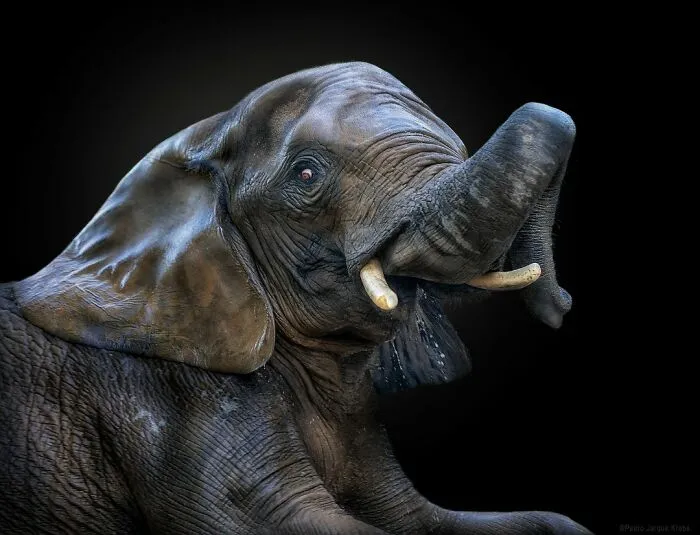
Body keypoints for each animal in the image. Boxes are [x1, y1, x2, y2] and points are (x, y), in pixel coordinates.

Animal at [0, 62, 589, 534]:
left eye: (462, 150)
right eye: (306, 174)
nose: (560, 305)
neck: (206, 135)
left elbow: (424, 516)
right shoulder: (167, 392)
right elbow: (280, 521)